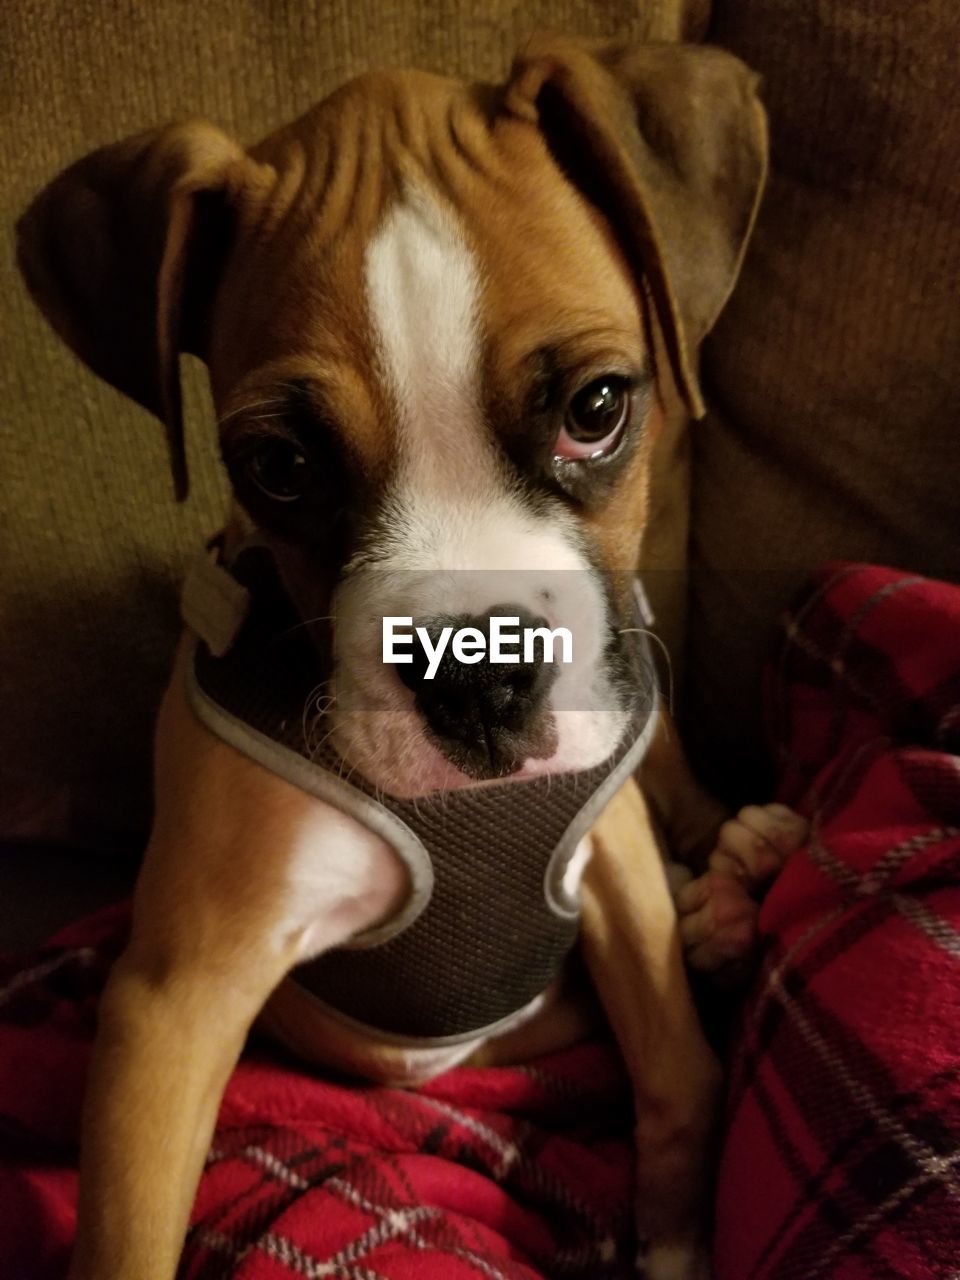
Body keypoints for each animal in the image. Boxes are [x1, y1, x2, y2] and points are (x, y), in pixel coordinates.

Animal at [16, 30, 814, 1280]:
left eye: (598, 406)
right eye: (280, 465)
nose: (480, 674)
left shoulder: (615, 867)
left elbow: (681, 1072)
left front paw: (678, 1241)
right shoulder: (175, 996)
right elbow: (127, 1230)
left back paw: (738, 866)